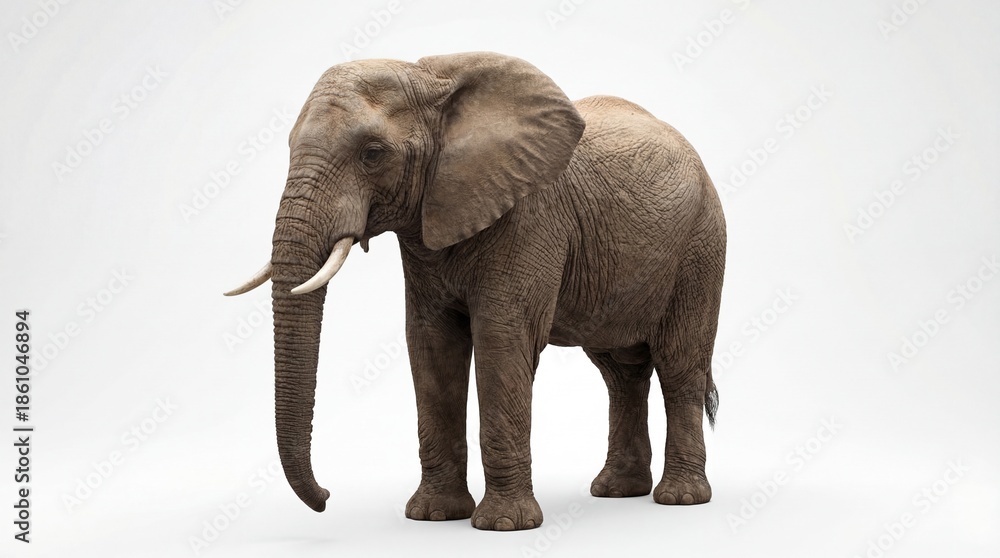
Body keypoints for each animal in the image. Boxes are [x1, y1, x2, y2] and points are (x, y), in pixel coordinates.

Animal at [225, 51, 726, 531]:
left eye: (372, 154)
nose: (326, 497)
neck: (431, 80)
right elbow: (431, 345)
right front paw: (433, 516)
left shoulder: (530, 217)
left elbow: (501, 342)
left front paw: (504, 526)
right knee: (621, 373)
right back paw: (616, 491)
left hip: (701, 247)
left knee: (679, 364)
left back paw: (679, 498)